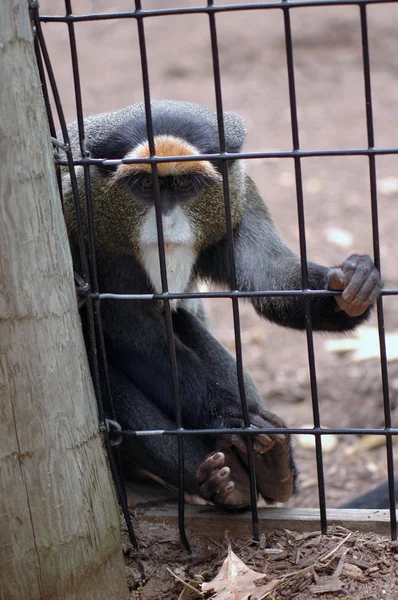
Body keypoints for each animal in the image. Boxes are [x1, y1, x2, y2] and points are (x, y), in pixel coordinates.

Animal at [59, 101, 382, 508]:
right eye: (145, 184)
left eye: (184, 184)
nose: (165, 221)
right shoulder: (81, 218)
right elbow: (131, 332)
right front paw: (228, 418)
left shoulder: (239, 197)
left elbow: (271, 280)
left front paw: (350, 285)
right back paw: (229, 480)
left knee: (183, 322)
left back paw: (270, 470)